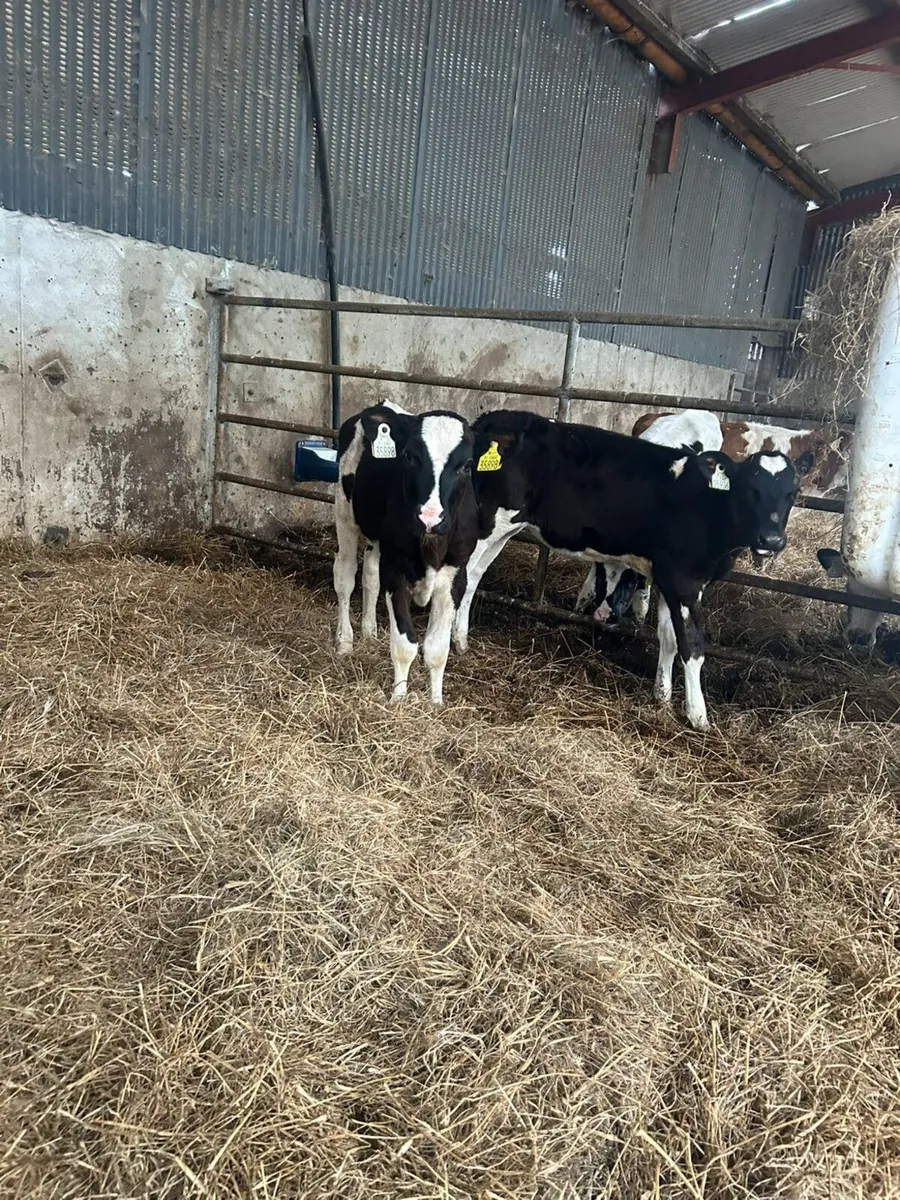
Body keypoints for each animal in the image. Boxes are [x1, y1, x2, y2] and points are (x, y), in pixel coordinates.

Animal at [333, 402, 478, 705]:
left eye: (467, 466)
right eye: (409, 456)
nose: (430, 518)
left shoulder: (456, 575)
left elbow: (437, 648)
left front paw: (436, 702)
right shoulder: (396, 570)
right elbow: (404, 644)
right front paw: (398, 698)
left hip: (378, 541)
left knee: (369, 576)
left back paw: (369, 631)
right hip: (345, 514)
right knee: (345, 577)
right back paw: (345, 641)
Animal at [455, 410, 805, 730]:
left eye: (794, 492)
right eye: (749, 487)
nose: (771, 540)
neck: (707, 506)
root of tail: (495, 420)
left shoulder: (667, 577)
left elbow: (668, 637)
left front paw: (662, 694)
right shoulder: (685, 580)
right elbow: (692, 645)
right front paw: (698, 715)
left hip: (503, 529)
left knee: (473, 578)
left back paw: (460, 641)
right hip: (488, 521)